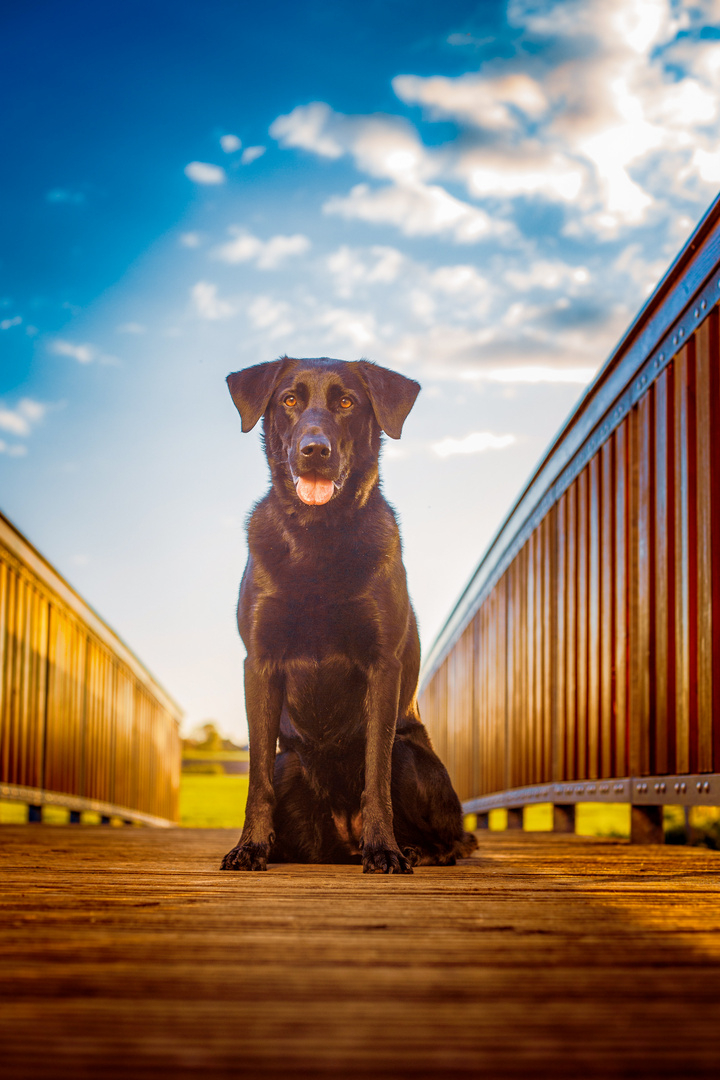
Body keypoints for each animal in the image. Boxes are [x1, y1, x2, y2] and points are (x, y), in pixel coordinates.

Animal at [220, 358, 479, 872]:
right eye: (290, 400)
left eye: (346, 402)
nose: (314, 450)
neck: (316, 539)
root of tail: (342, 839)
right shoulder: (259, 664)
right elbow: (256, 777)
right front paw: (250, 847)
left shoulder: (382, 667)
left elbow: (375, 776)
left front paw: (385, 851)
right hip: (290, 762)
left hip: (408, 755)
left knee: (455, 839)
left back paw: (413, 849)